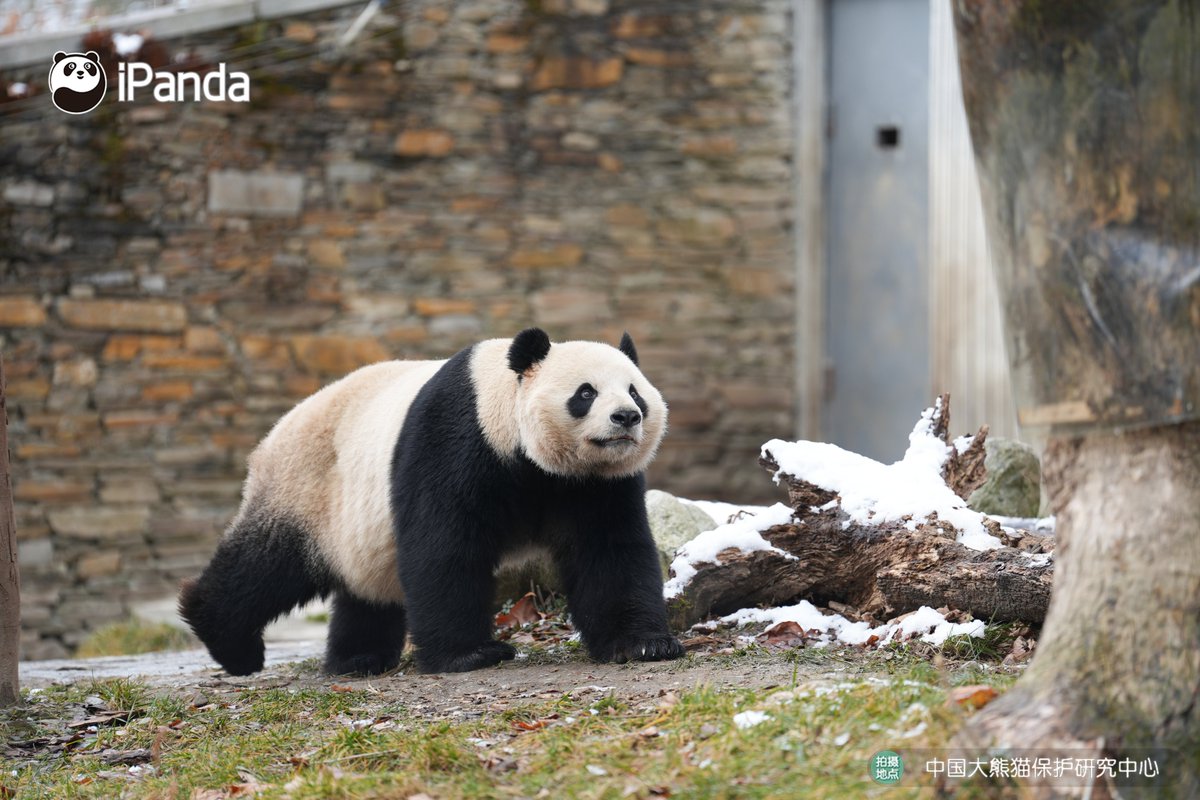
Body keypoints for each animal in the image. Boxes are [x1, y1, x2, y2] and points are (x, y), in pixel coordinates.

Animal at [179, 328, 684, 675]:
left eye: (635, 391)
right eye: (585, 393)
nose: (627, 417)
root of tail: (274, 433)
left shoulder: (594, 485)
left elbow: (609, 552)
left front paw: (643, 644)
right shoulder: (457, 441)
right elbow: (443, 545)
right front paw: (472, 654)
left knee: (367, 590)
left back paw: (357, 658)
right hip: (306, 486)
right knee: (266, 566)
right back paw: (231, 643)